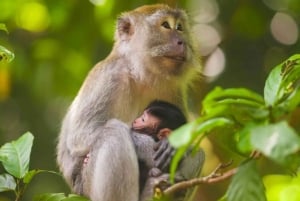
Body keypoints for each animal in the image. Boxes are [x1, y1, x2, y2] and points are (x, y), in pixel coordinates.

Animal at [56, 3, 202, 201]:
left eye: (180, 27)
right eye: (165, 25)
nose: (182, 42)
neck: (141, 75)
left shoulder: (174, 88)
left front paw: (175, 144)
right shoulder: (109, 75)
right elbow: (81, 135)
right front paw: (156, 147)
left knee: (199, 153)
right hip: (86, 186)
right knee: (113, 132)